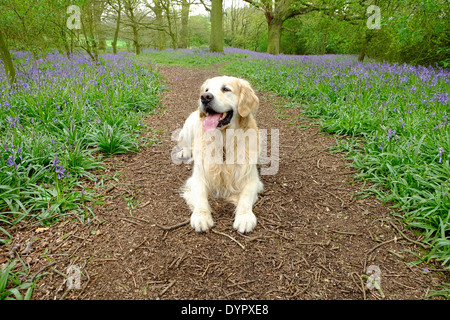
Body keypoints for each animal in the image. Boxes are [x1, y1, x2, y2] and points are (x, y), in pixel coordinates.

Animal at [176, 76, 264, 234]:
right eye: (206, 90)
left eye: (226, 89)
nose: (205, 97)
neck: (224, 140)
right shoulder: (198, 178)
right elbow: (200, 196)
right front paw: (201, 217)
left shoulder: (252, 179)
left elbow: (245, 197)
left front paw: (244, 218)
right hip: (187, 128)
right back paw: (184, 152)